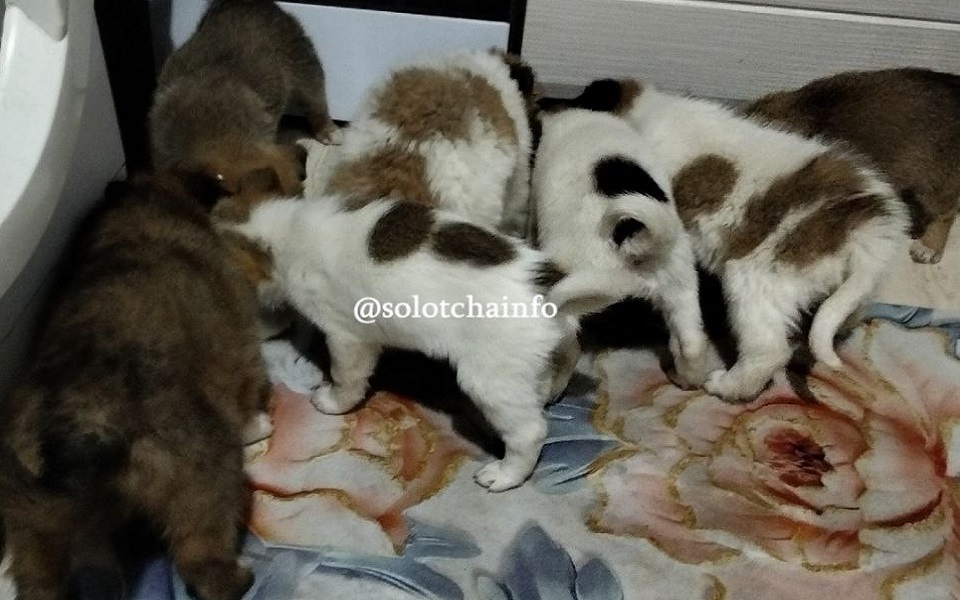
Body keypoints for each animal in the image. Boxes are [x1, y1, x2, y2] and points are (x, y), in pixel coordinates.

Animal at [0, 171, 268, 600]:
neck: (144, 206)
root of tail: (76, 432)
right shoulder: (244, 349)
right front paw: (259, 424)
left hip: (33, 526)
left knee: (39, 581)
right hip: (208, 470)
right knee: (202, 564)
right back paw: (238, 576)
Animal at [533, 106, 710, 387]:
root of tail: (632, 239)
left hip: (576, 291)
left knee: (569, 348)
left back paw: (550, 390)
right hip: (680, 288)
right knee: (692, 346)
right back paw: (684, 379)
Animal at [555, 78, 910, 401]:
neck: (649, 112)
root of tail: (864, 227)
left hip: (754, 283)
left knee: (767, 351)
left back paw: (726, 387)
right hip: (848, 289)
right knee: (844, 313)